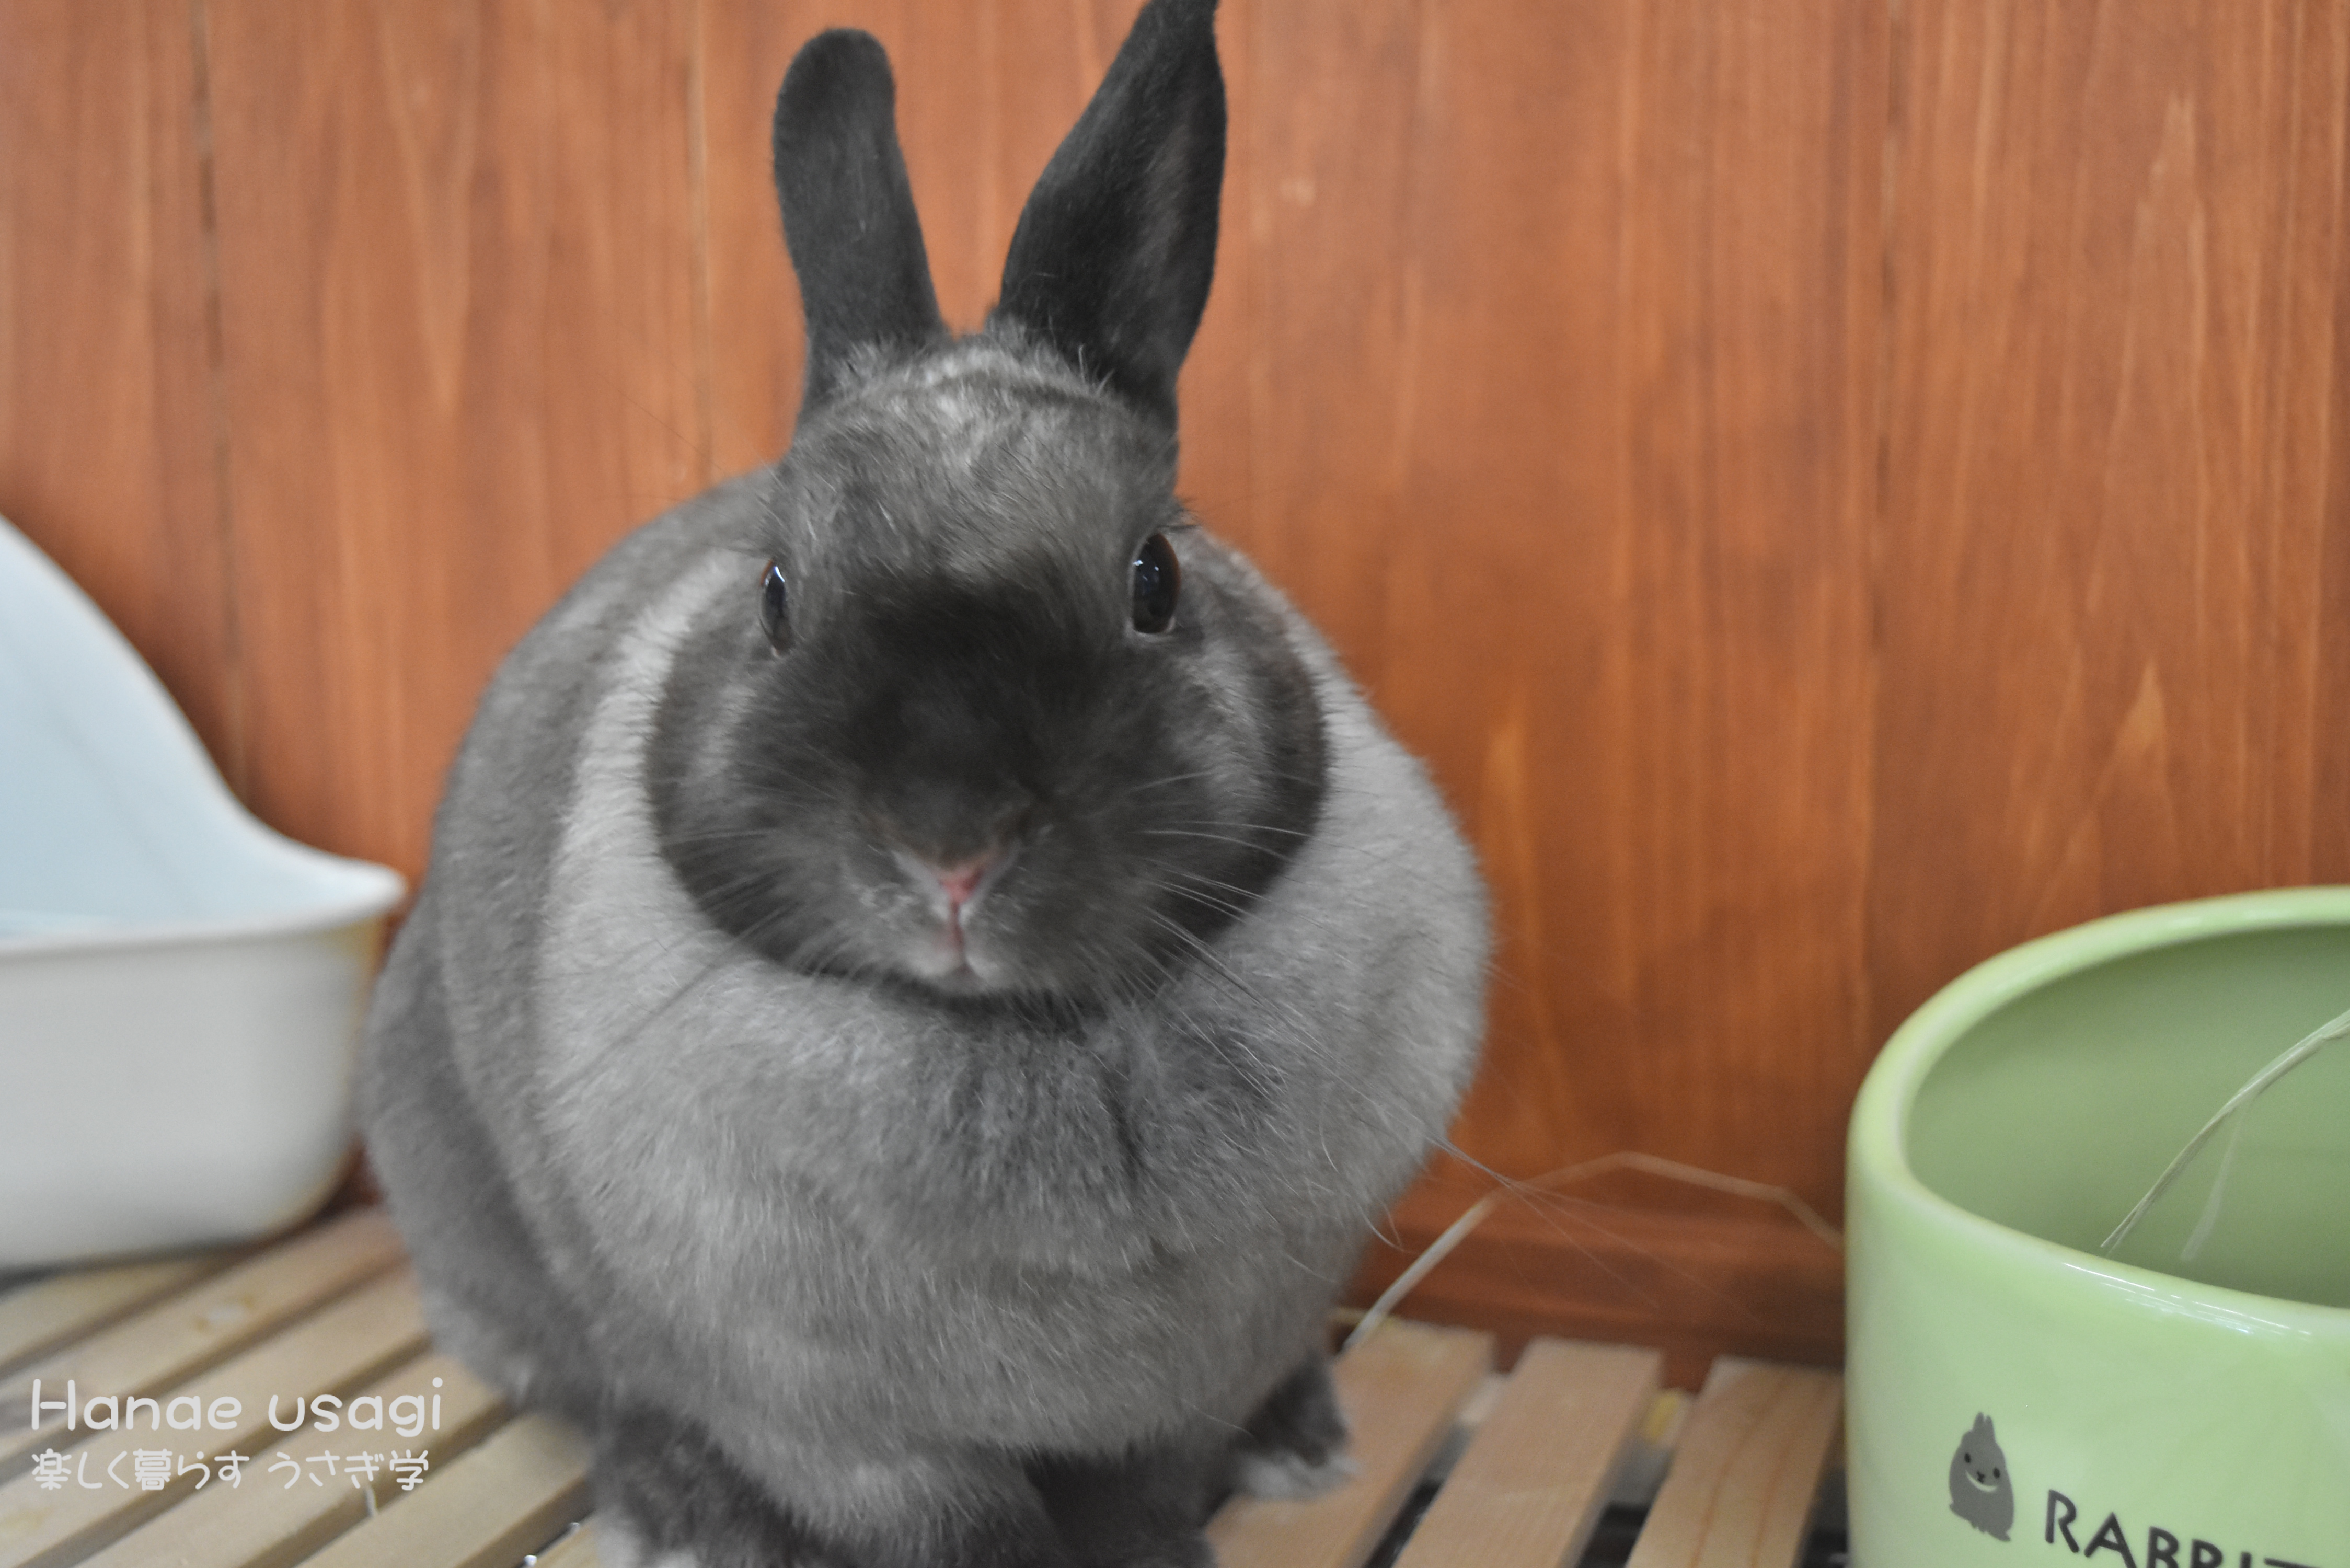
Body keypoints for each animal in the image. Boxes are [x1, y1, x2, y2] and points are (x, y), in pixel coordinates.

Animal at [354, 3, 1476, 1568]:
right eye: (776, 595)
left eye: (1154, 578)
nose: (951, 847)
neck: (1029, 1037)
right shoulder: (845, 1436)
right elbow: (967, 1529)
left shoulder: (1183, 1389)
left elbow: (1142, 1494)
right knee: (581, 1383)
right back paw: (686, 1509)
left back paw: (1306, 1435)